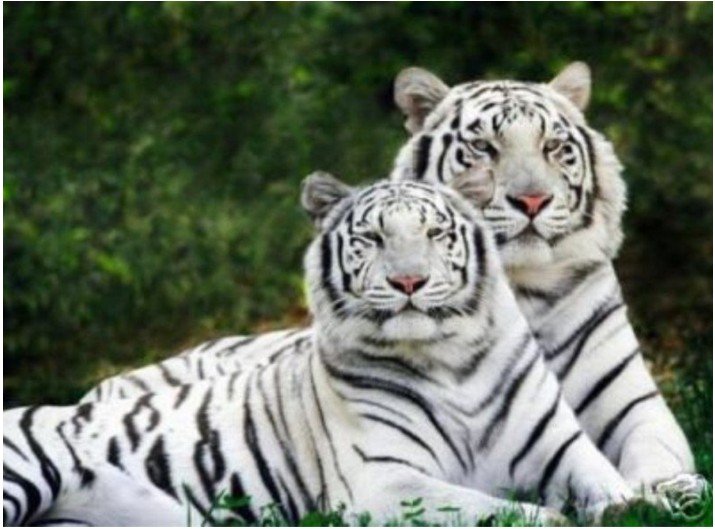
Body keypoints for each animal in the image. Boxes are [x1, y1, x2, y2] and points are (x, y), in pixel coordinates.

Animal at [4, 174, 637, 526]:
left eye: (435, 234)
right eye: (373, 238)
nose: (409, 282)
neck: (451, 362)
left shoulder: (560, 448)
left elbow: (609, 484)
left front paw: (633, 505)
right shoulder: (384, 483)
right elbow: (490, 509)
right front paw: (551, 518)